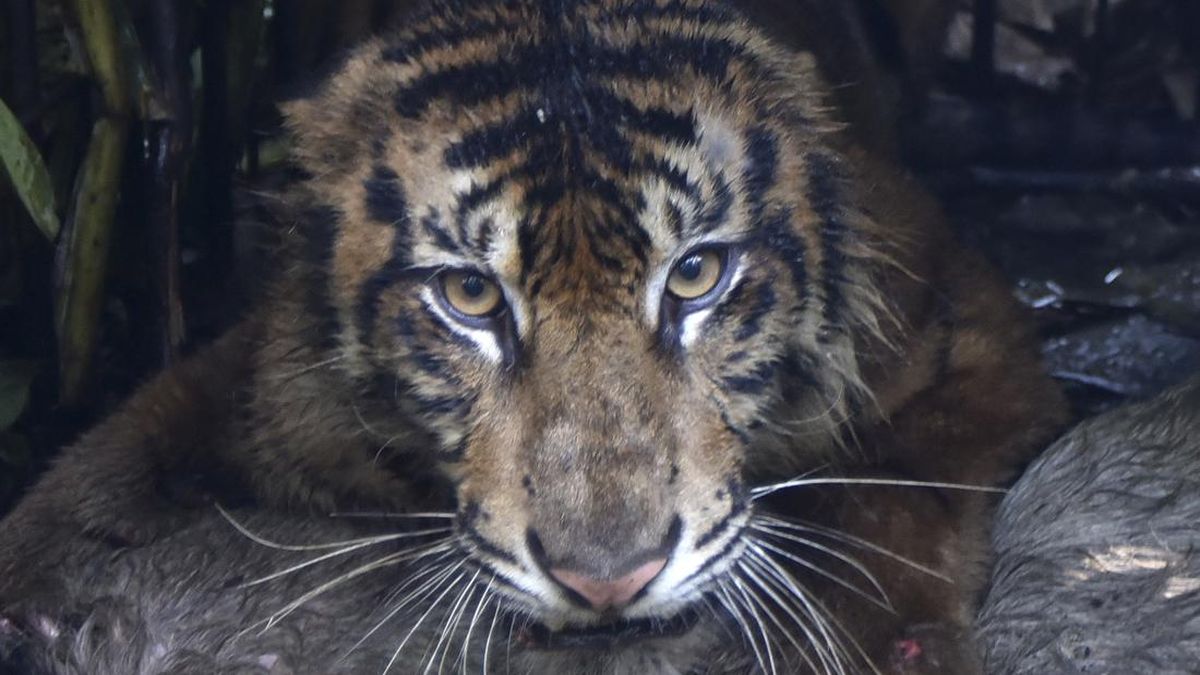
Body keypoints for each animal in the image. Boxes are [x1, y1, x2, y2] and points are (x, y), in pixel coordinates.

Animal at [0, 0, 1068, 673]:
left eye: (695, 275)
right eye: (471, 295)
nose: (608, 579)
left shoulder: (968, 326)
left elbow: (890, 495)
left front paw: (870, 645)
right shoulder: (260, 385)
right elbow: (96, 476)